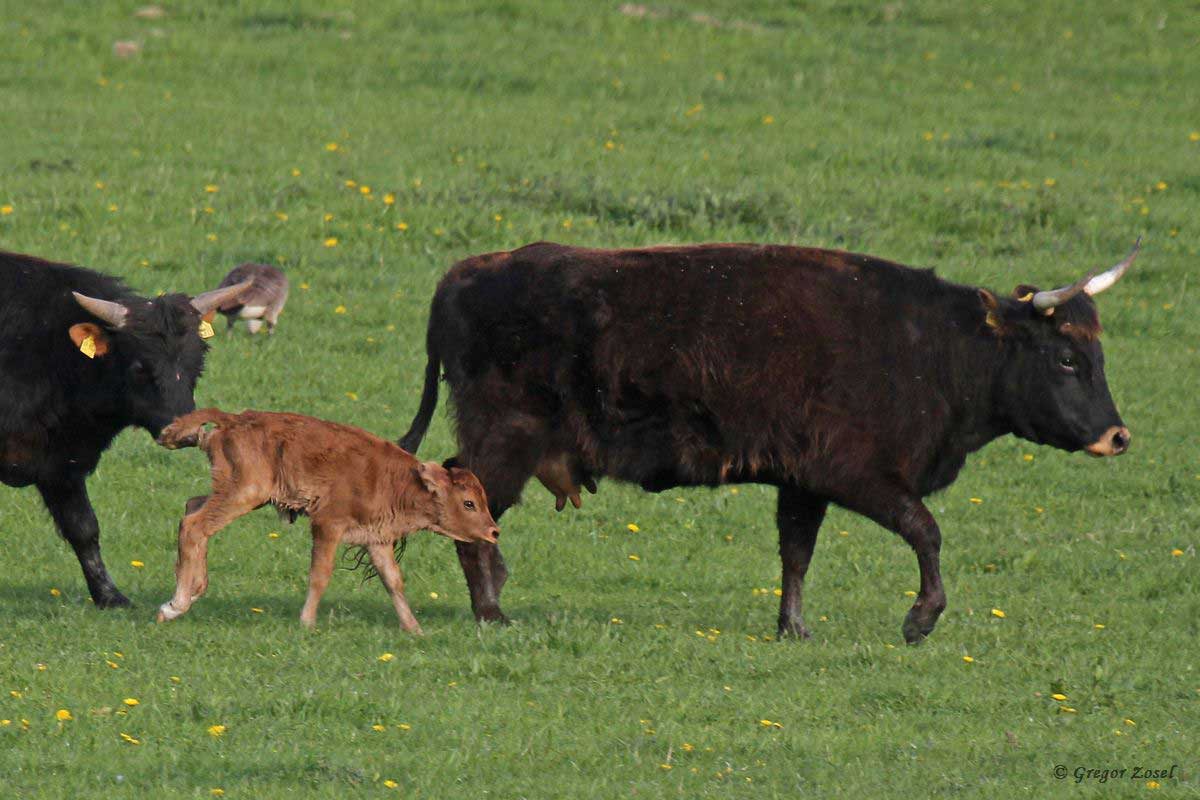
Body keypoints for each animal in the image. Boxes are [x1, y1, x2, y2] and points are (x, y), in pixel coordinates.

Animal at [0, 250, 248, 606]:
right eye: (140, 367)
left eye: (197, 363)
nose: (186, 433)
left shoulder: (61, 463)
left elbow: (84, 528)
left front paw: (110, 596)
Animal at [156, 410, 501, 633]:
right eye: (469, 503)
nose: (493, 531)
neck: (396, 481)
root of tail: (233, 419)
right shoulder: (327, 526)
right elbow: (320, 575)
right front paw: (307, 622)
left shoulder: (377, 540)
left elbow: (393, 581)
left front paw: (414, 629)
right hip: (243, 493)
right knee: (195, 526)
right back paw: (175, 605)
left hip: (237, 494)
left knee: (192, 509)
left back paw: (193, 591)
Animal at [398, 239, 1137, 642]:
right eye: (1066, 358)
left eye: (1099, 355)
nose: (1118, 435)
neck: (932, 347)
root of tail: (462, 274)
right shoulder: (859, 475)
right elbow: (926, 532)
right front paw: (920, 620)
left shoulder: (802, 482)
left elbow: (796, 555)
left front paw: (794, 628)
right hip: (507, 443)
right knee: (470, 516)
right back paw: (492, 611)